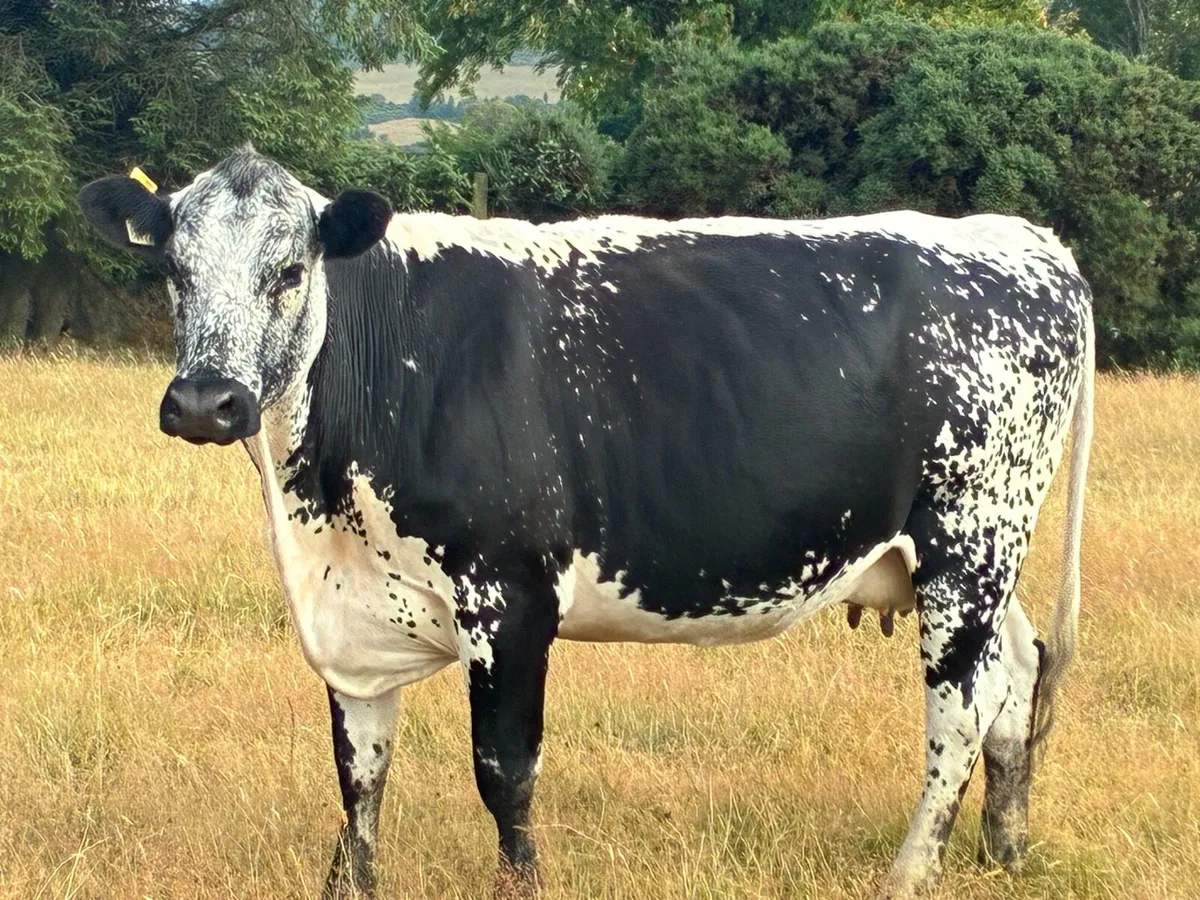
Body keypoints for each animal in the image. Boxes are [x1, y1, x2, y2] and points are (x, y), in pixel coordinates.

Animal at [78, 145, 1093, 899]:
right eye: (174, 271)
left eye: (289, 271)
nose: (205, 402)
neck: (319, 513)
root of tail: (1023, 240)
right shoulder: (352, 615)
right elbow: (359, 773)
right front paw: (350, 883)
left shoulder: (510, 596)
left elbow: (504, 768)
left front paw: (521, 883)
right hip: (967, 559)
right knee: (1017, 674)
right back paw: (1007, 848)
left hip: (970, 542)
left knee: (958, 714)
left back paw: (911, 873)